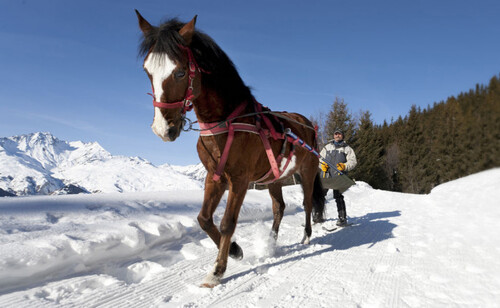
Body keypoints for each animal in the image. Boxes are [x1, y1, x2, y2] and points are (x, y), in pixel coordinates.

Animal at [135, 10, 326, 288]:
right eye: (147, 70)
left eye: (180, 73)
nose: (163, 129)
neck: (227, 121)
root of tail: (307, 124)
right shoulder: (214, 177)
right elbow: (204, 219)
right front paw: (235, 250)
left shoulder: (239, 179)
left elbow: (227, 222)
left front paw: (217, 270)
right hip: (274, 178)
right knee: (279, 207)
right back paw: (271, 242)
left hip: (308, 172)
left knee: (308, 202)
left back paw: (306, 236)